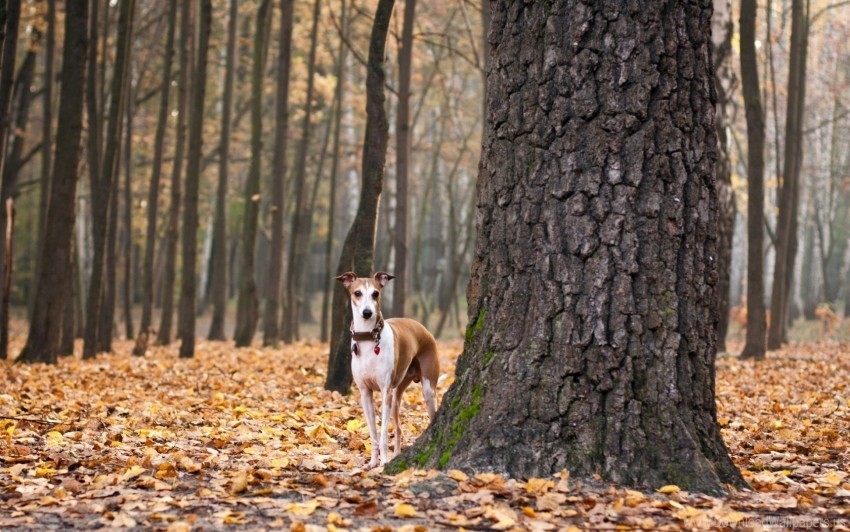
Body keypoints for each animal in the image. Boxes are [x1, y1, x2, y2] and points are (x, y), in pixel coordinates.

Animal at [332, 272, 438, 468]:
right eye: (357, 293)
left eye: (375, 293)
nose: (367, 313)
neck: (369, 338)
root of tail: (423, 328)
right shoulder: (365, 393)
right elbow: (373, 433)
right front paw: (373, 462)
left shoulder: (384, 391)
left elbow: (382, 435)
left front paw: (384, 462)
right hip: (396, 397)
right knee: (399, 429)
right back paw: (396, 454)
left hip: (426, 390)